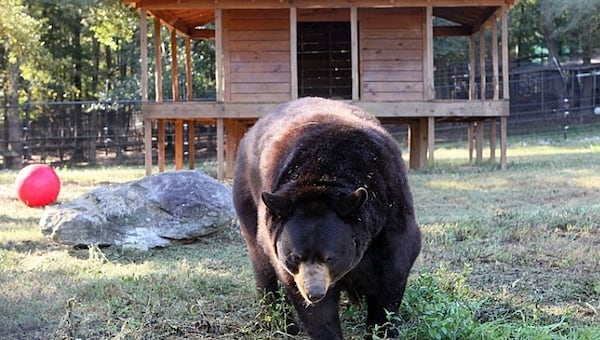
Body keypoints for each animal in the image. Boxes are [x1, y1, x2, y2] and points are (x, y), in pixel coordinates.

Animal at [232, 97, 420, 338]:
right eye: (295, 257)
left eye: (329, 257)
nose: (314, 293)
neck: (323, 176)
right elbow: (316, 311)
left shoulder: (390, 208)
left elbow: (392, 271)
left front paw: (381, 329)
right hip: (248, 197)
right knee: (261, 260)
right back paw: (281, 322)